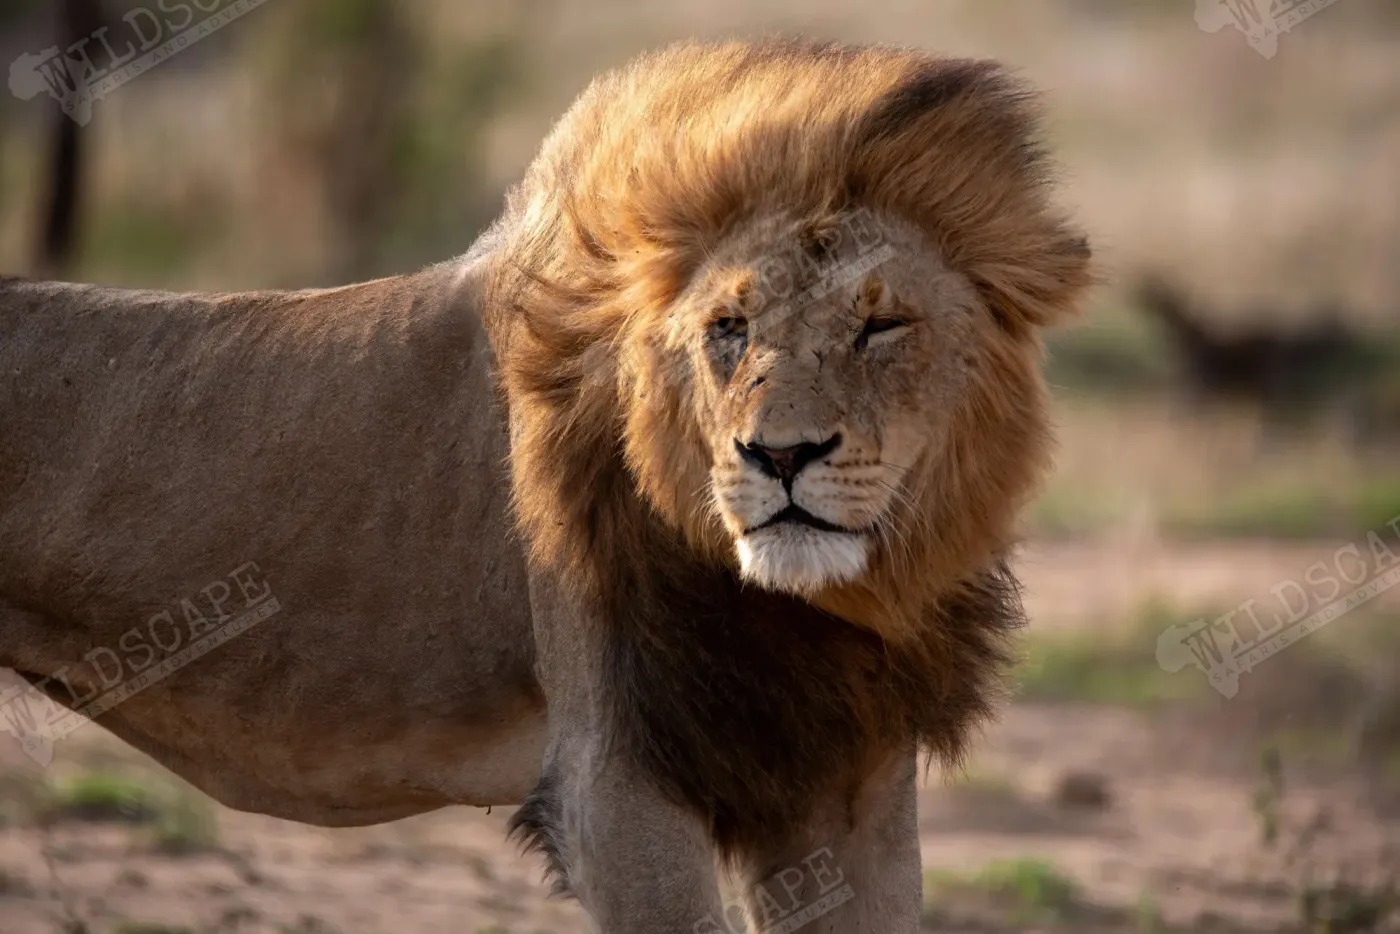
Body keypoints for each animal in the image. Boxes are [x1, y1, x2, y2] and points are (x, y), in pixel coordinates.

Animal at [0, 40, 1090, 931]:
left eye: (881, 325)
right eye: (728, 328)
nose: (779, 456)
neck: (804, 604)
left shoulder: (850, 778)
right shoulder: (615, 780)